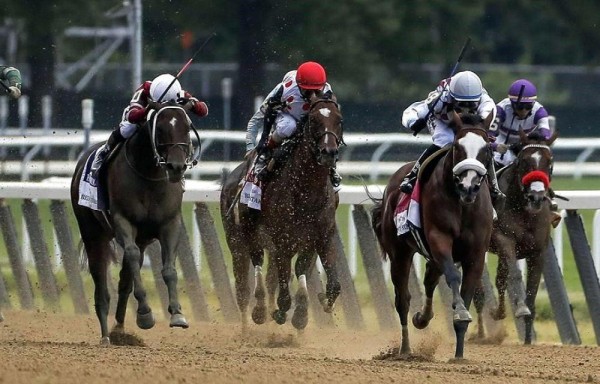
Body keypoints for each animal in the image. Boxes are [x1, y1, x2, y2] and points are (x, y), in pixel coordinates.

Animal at [70, 100, 200, 344]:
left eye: (187, 128)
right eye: (160, 129)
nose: (176, 166)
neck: (148, 175)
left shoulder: (170, 224)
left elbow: (168, 269)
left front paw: (177, 313)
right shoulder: (123, 221)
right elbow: (129, 256)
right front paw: (146, 313)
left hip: (140, 239)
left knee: (125, 279)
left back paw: (119, 330)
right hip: (92, 233)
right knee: (101, 281)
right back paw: (106, 336)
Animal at [220, 92, 342, 330]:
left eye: (339, 120)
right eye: (314, 120)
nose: (329, 152)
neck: (306, 194)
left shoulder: (320, 238)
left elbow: (331, 283)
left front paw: (310, 309)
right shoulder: (282, 241)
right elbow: (284, 294)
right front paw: (280, 312)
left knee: (267, 277)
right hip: (239, 241)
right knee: (246, 285)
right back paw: (253, 319)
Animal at [372, 112, 494, 360]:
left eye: (486, 148)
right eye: (457, 146)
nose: (469, 186)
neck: (462, 204)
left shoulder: (476, 253)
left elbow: (467, 291)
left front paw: (459, 354)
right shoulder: (439, 239)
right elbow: (454, 278)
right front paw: (460, 312)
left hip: (431, 258)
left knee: (429, 280)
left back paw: (422, 318)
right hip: (400, 253)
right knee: (403, 299)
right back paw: (405, 349)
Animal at [476, 129, 560, 344]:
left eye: (549, 162)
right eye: (523, 161)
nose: (536, 197)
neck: (525, 212)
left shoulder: (538, 252)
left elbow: (532, 289)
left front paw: (528, 338)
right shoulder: (505, 241)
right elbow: (514, 275)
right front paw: (521, 308)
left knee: (499, 279)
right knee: (479, 291)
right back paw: (481, 332)